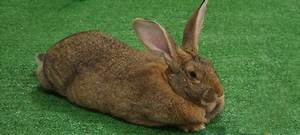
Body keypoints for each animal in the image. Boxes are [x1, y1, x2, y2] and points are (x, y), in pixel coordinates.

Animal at [36, 0, 224, 131]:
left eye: (211, 65)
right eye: (193, 75)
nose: (219, 93)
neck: (169, 84)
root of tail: (49, 54)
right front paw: (197, 126)